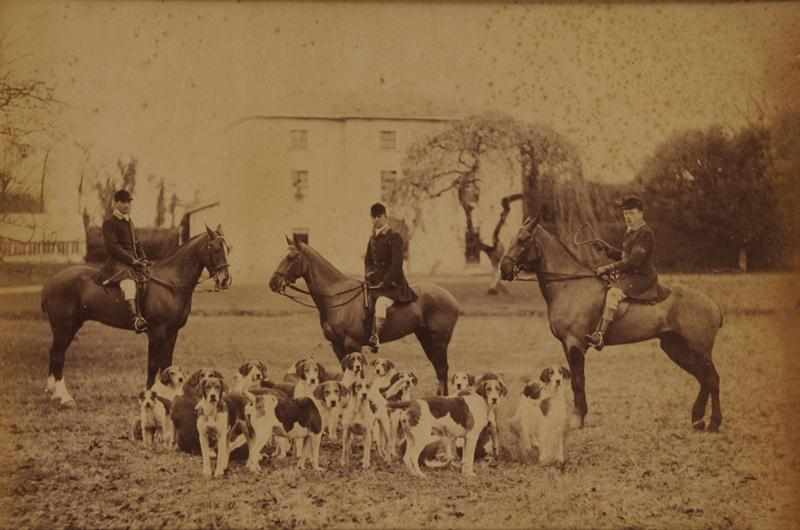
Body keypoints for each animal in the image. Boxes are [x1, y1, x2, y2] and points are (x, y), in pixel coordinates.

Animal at [41, 224, 231, 404]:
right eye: (214, 248)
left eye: (228, 248)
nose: (225, 280)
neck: (171, 283)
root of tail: (51, 281)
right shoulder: (157, 332)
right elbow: (153, 364)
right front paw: (149, 394)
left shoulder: (172, 332)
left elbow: (167, 363)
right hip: (64, 327)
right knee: (58, 355)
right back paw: (64, 397)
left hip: (69, 326)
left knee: (54, 352)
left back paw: (52, 393)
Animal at [268, 237, 460, 394]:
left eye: (291, 257)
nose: (273, 283)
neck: (337, 297)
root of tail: (451, 298)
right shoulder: (337, 345)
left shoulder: (352, 344)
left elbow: (358, 377)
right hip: (425, 338)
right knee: (439, 368)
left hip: (439, 340)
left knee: (442, 368)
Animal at [500, 217, 724, 432]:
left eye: (523, 240)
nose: (504, 270)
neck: (569, 285)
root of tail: (712, 304)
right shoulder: (566, 345)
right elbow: (575, 380)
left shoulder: (575, 344)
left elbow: (578, 381)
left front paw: (577, 419)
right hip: (676, 348)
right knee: (703, 379)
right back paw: (698, 420)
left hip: (699, 350)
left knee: (712, 379)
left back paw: (713, 423)